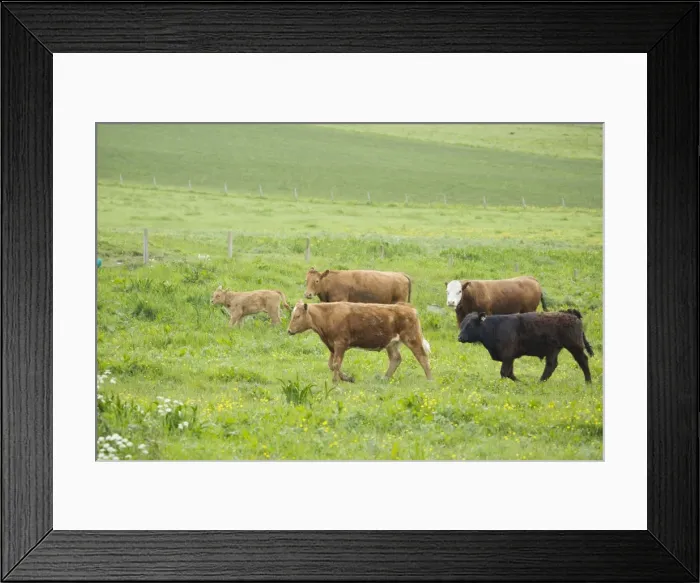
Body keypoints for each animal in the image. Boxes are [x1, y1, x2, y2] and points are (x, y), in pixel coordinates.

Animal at [287, 300, 432, 383]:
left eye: (297, 316)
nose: (289, 331)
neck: (328, 315)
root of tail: (408, 308)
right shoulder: (332, 345)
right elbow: (331, 365)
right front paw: (347, 378)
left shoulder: (340, 344)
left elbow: (336, 364)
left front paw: (335, 381)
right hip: (391, 344)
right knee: (396, 359)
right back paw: (385, 378)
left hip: (412, 339)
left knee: (422, 357)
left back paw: (429, 379)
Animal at [457, 309, 594, 383]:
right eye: (462, 324)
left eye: (470, 325)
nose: (460, 337)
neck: (495, 327)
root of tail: (571, 314)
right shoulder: (510, 357)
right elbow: (510, 373)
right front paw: (522, 383)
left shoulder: (507, 355)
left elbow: (504, 372)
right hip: (553, 349)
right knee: (551, 366)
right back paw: (540, 382)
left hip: (575, 346)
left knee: (583, 361)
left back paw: (588, 382)